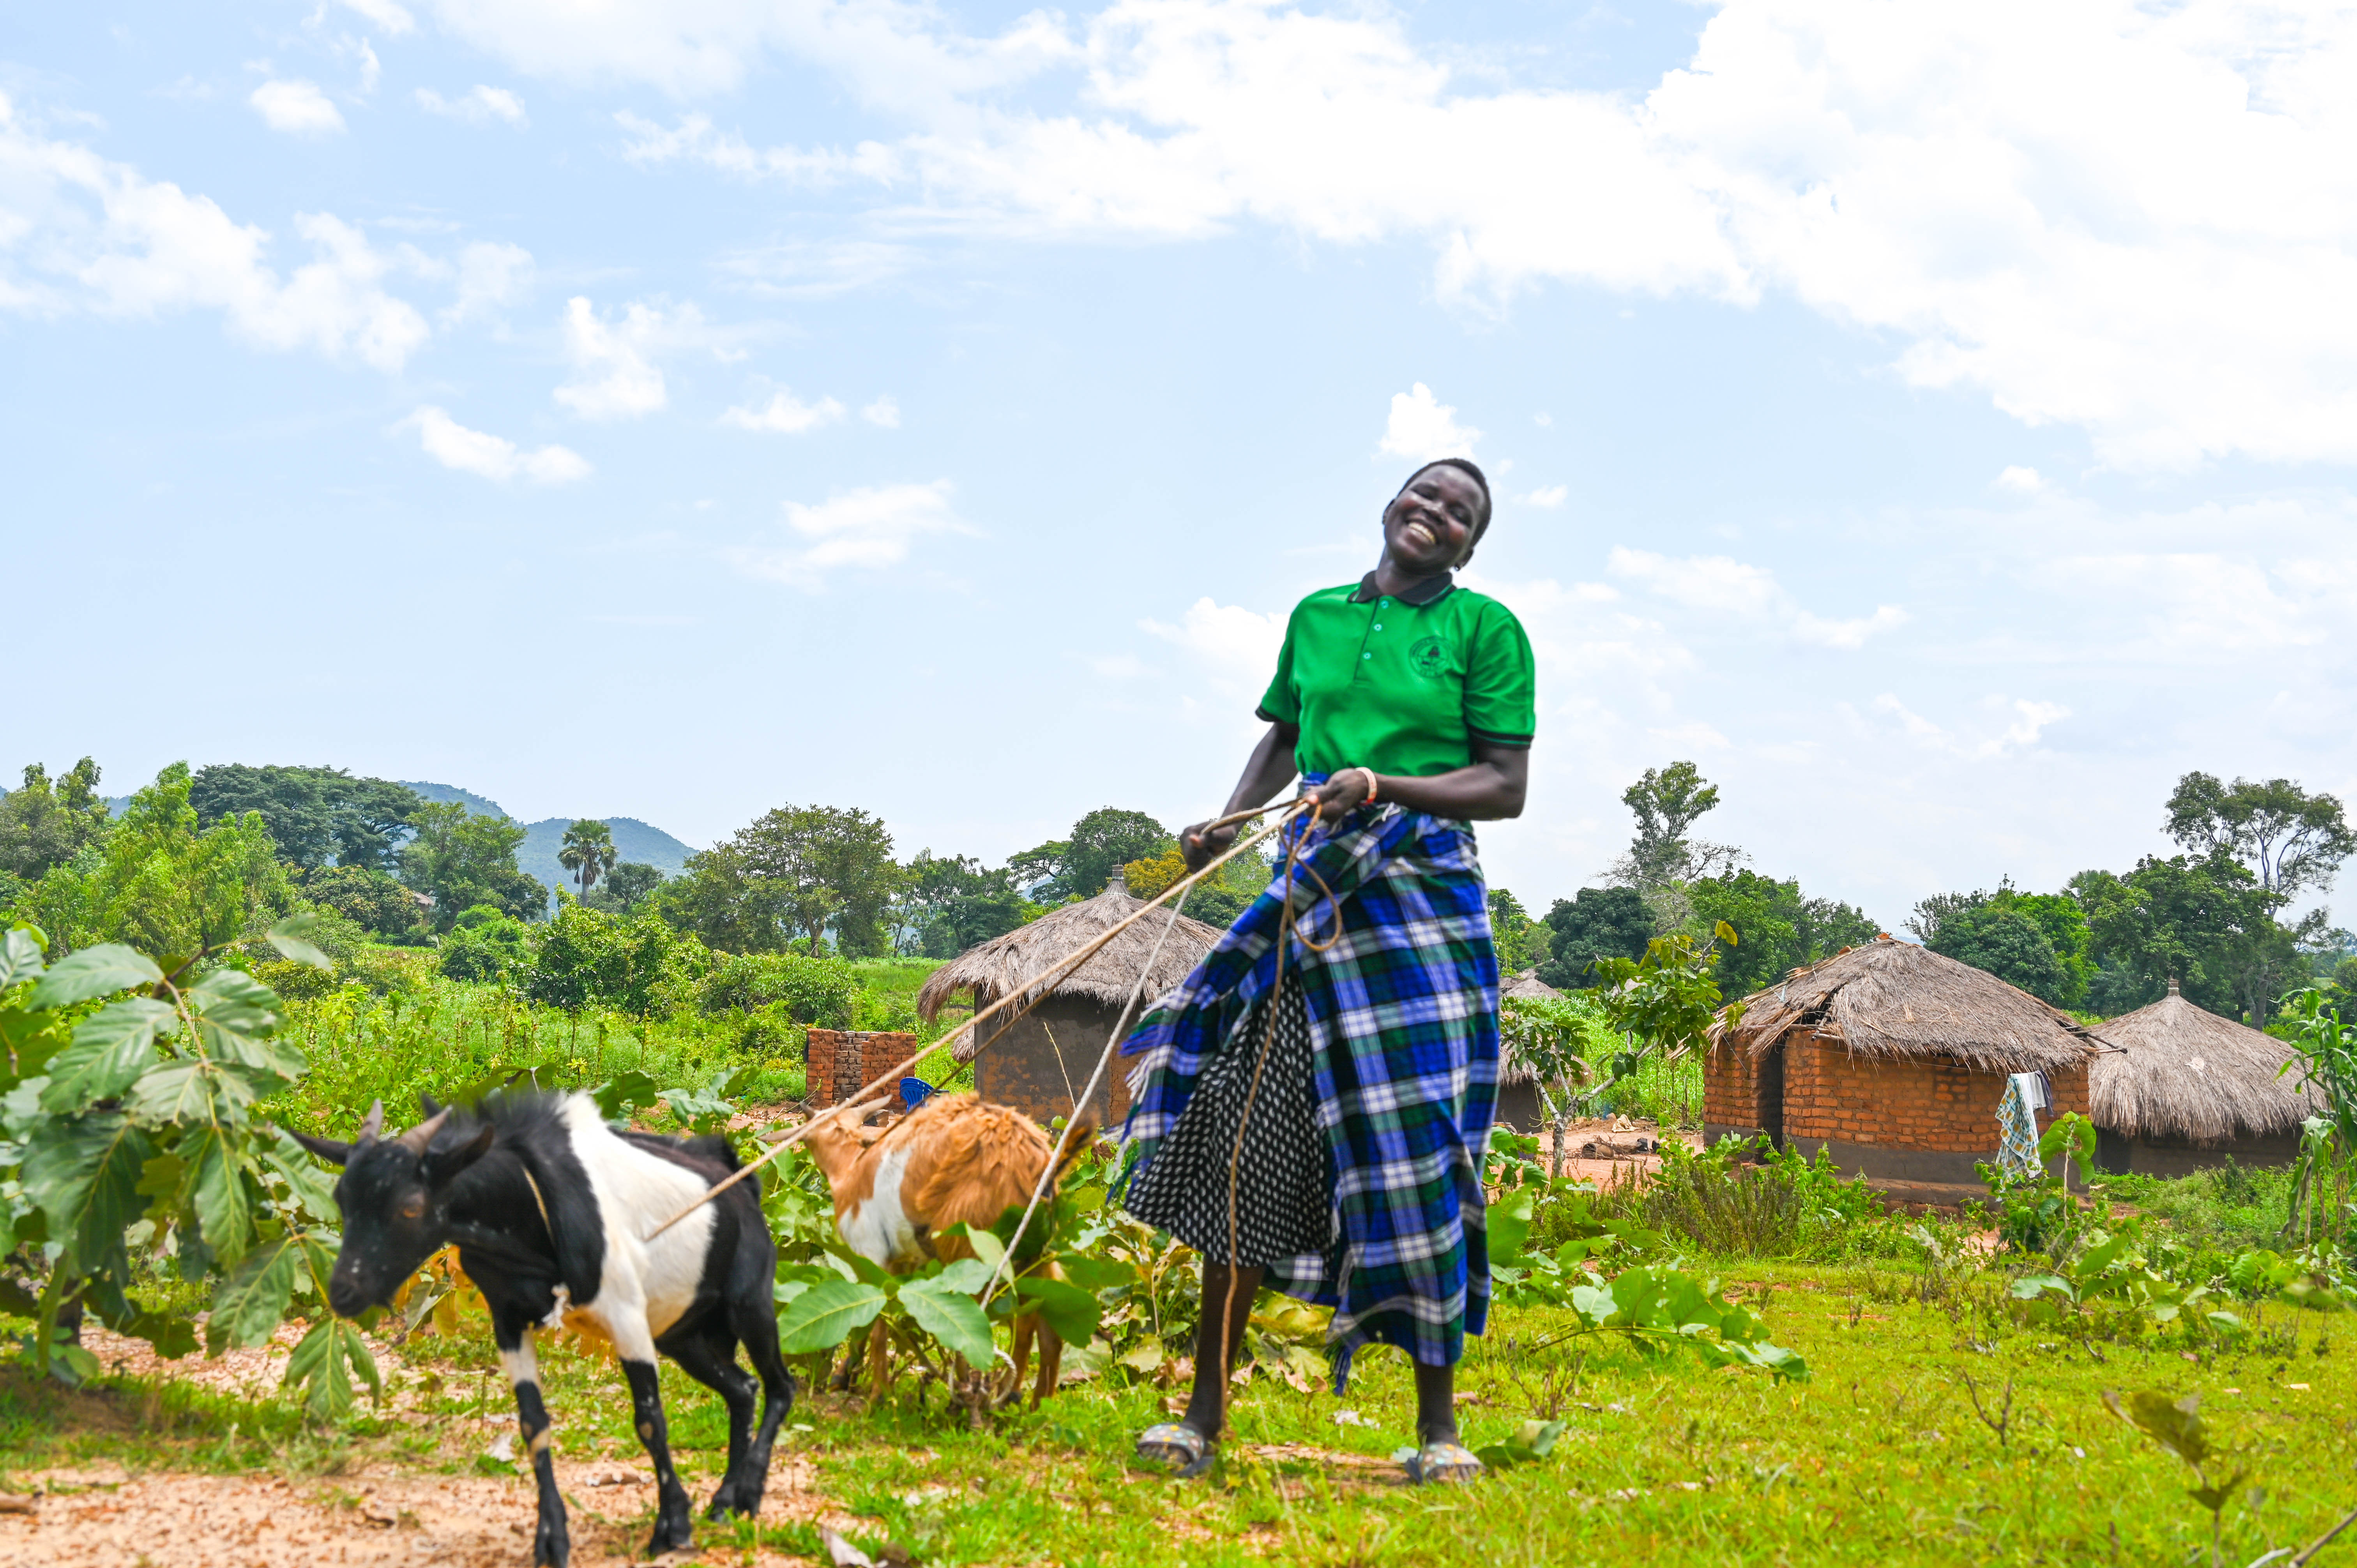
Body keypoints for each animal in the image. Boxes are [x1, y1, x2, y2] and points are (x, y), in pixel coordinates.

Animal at [291, 1089, 792, 1565]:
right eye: (342, 1199)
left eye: (411, 1208)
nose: (344, 1292)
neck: (532, 1205)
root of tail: (742, 1185)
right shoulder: (508, 1321)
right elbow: (534, 1423)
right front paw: (552, 1537)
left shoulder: (626, 1314)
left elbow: (651, 1421)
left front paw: (673, 1525)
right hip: (682, 1335)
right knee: (743, 1389)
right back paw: (725, 1501)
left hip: (750, 1304)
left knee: (780, 1385)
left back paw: (748, 1494)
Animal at [801, 1089, 1094, 1405]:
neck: (852, 1167)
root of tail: (1043, 1166)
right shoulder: (902, 1260)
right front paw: (845, 1377)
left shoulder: (870, 1250)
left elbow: (877, 1321)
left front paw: (878, 1394)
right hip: (1036, 1254)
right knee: (1048, 1325)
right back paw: (1035, 1402)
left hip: (978, 1251)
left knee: (1008, 1322)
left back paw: (995, 1394)